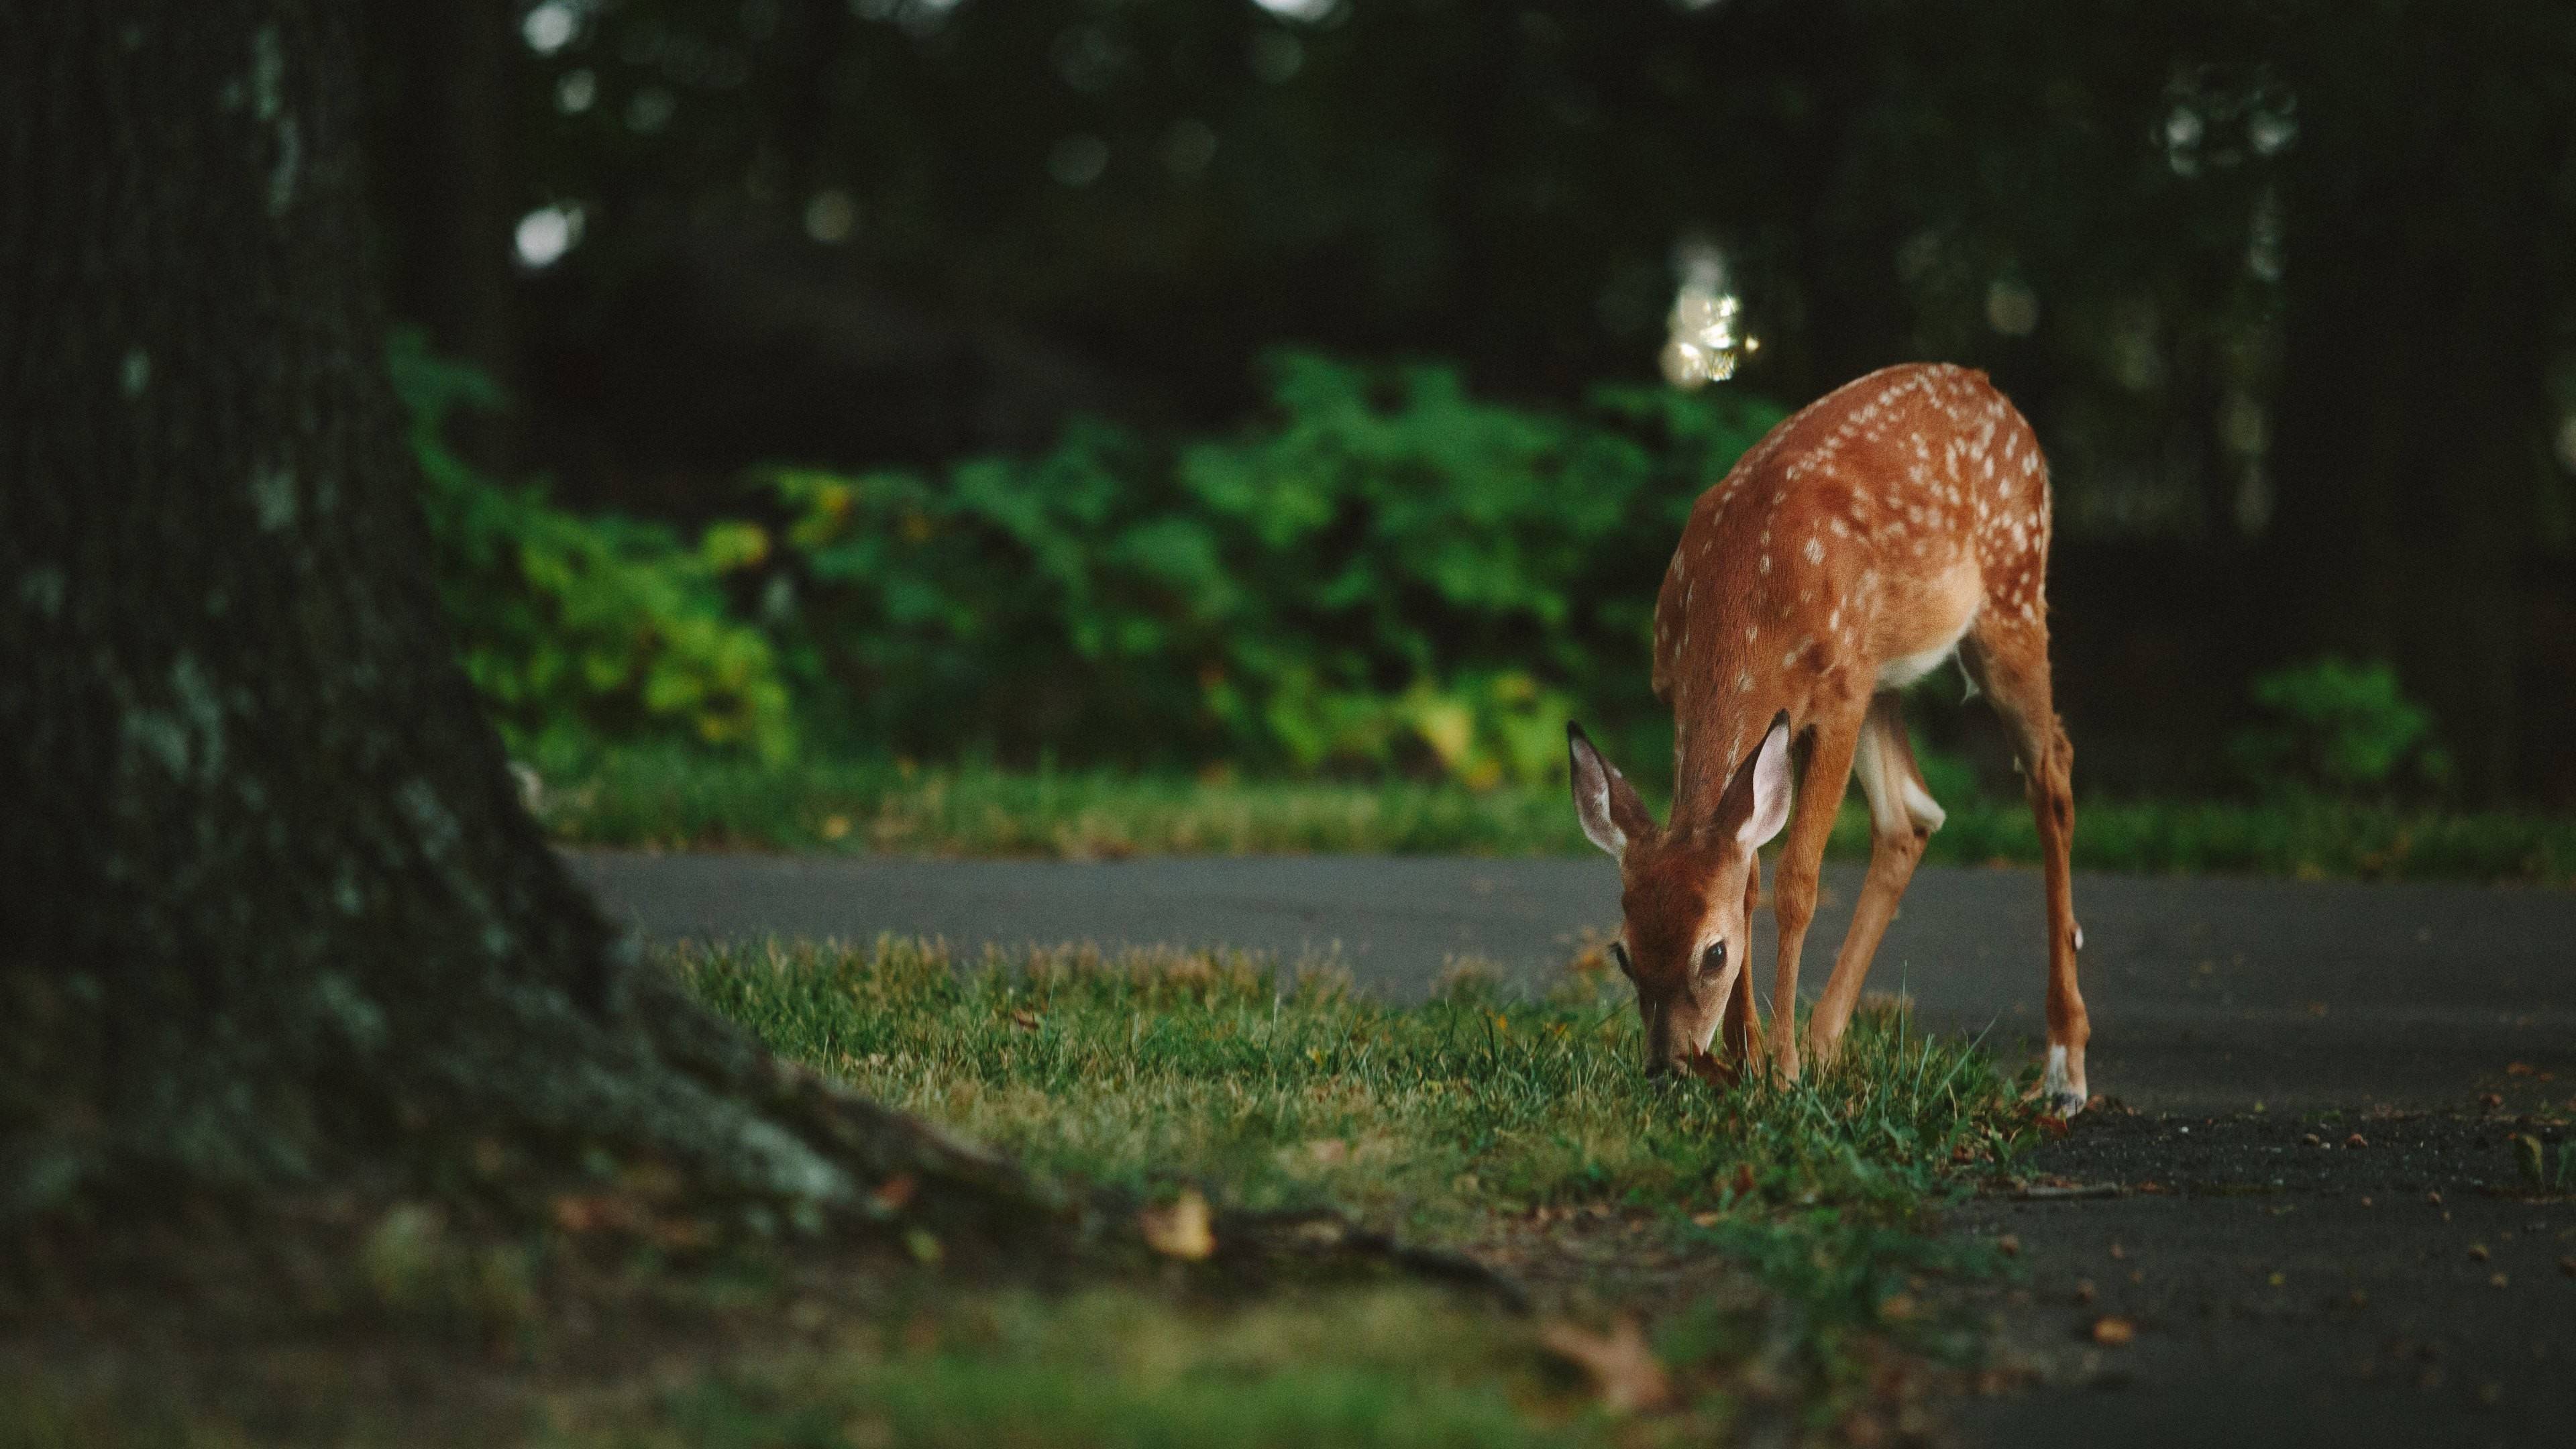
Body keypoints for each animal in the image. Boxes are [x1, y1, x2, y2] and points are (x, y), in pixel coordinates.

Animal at [1566, 362, 2091, 1117]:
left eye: (1713, 954)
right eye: (1623, 953)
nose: (1668, 1067)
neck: (1746, 598)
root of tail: (1994, 392)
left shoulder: (1838, 696)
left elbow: (1795, 884)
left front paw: (1778, 1072)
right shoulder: (1694, 695)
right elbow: (1749, 874)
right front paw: (1749, 1061)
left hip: (2010, 597)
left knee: (2052, 773)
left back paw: (2064, 1069)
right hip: (1886, 674)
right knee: (1911, 815)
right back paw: (1825, 1044)